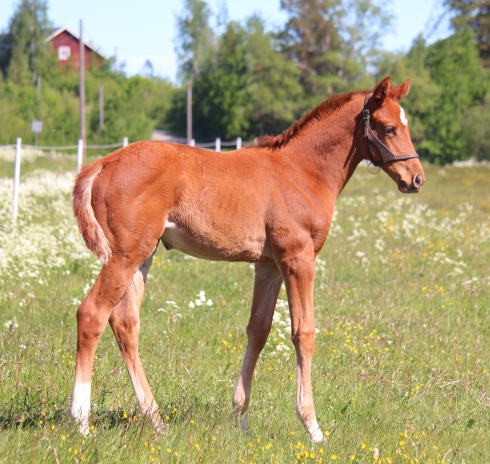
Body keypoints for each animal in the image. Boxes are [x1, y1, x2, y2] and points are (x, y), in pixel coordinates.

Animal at [70, 75, 424, 438]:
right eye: (389, 128)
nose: (416, 178)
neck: (301, 171)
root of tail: (101, 164)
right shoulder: (298, 259)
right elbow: (304, 332)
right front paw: (312, 426)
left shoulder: (268, 266)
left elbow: (259, 329)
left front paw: (241, 418)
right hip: (124, 256)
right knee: (92, 314)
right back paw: (82, 422)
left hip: (142, 257)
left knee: (125, 322)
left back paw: (156, 421)